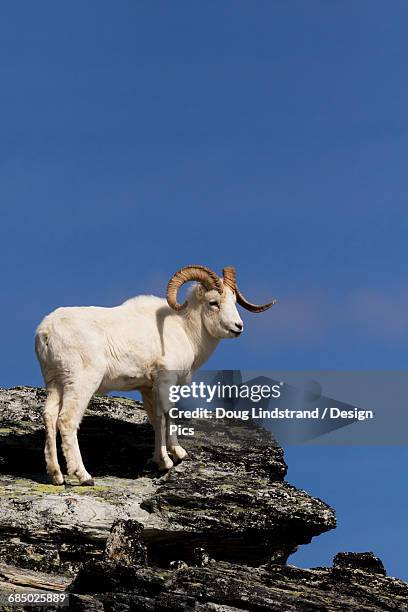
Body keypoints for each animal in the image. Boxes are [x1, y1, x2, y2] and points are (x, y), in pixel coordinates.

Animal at [35, 266, 278, 486]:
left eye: (234, 302)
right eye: (213, 302)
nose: (238, 326)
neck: (185, 329)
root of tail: (46, 333)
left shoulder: (147, 388)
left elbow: (155, 419)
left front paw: (161, 459)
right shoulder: (166, 381)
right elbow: (166, 415)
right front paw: (173, 458)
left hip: (56, 383)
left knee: (49, 416)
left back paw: (56, 475)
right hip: (81, 383)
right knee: (67, 420)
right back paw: (84, 476)